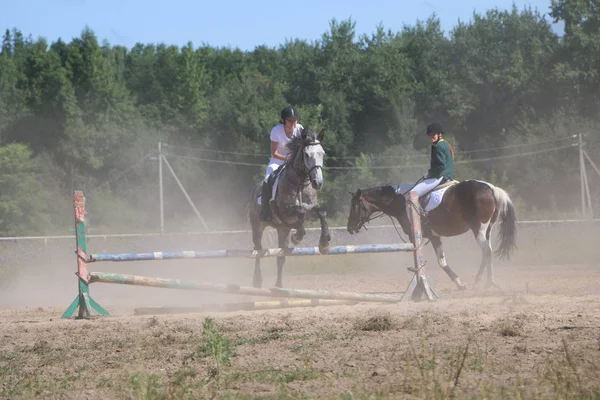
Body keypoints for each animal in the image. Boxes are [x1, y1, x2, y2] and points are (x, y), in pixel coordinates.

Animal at [248, 128, 332, 288]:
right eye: (306, 155)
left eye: (323, 153)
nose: (318, 182)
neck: (300, 182)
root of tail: (255, 190)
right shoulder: (285, 211)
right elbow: (299, 212)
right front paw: (298, 236)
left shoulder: (310, 211)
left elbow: (321, 212)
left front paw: (324, 243)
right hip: (257, 226)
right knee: (258, 250)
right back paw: (257, 280)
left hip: (282, 231)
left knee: (281, 255)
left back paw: (279, 285)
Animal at [344, 181, 516, 290]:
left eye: (355, 206)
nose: (349, 228)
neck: (398, 201)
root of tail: (492, 188)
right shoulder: (434, 236)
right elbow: (442, 261)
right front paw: (460, 283)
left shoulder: (420, 237)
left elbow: (438, 262)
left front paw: (460, 284)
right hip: (488, 230)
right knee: (488, 252)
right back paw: (486, 282)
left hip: (479, 229)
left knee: (486, 251)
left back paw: (483, 282)